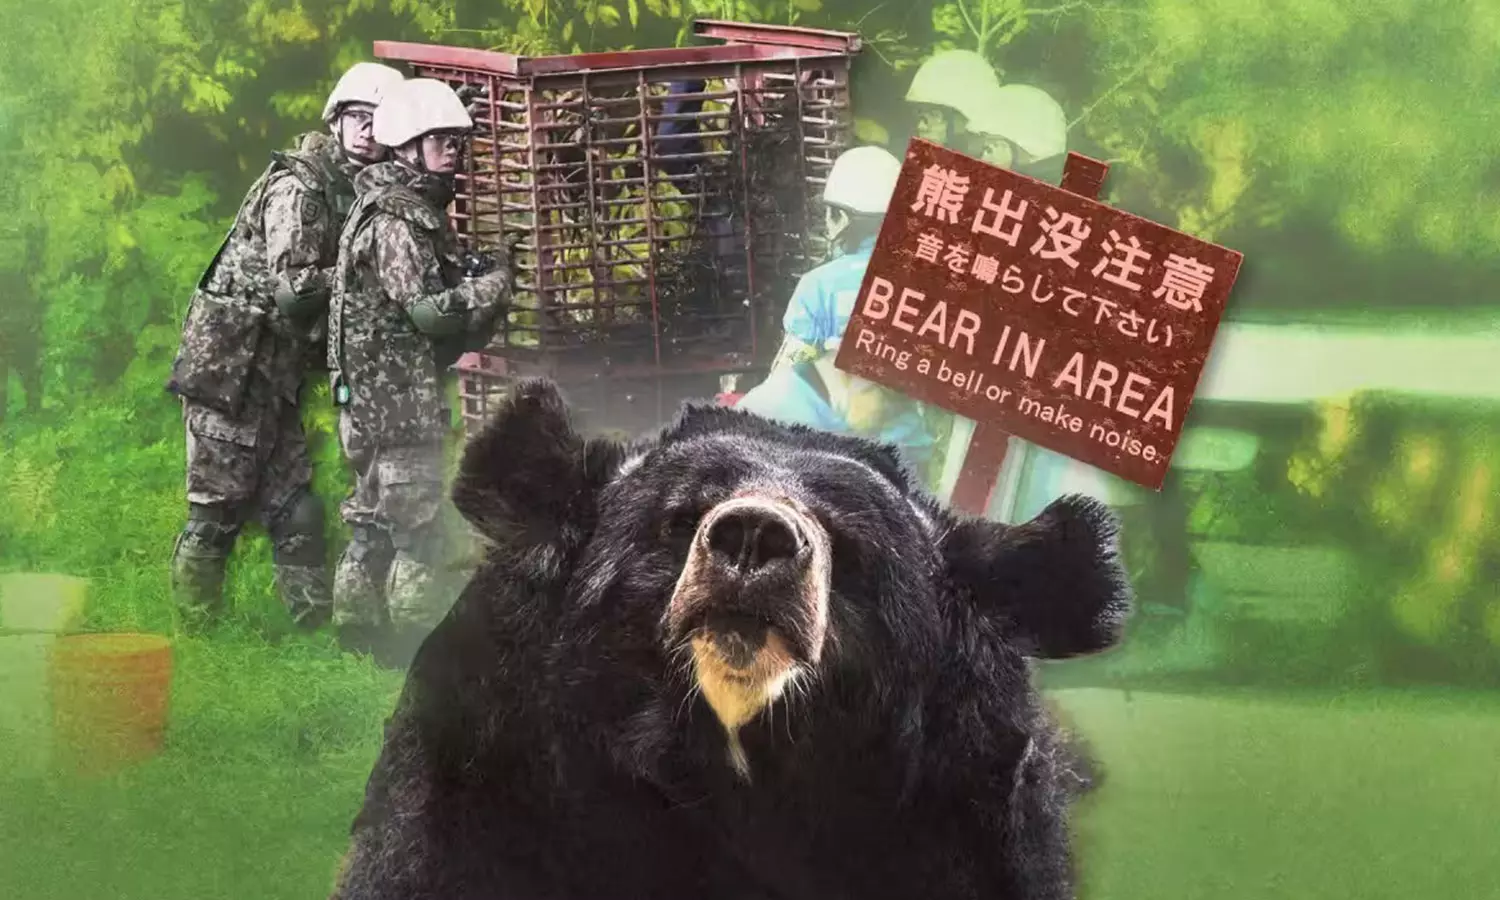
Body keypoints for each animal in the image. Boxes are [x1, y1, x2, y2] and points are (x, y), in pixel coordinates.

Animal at [331, 378, 1132, 900]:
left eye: (850, 546)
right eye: (681, 518)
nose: (755, 538)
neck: (730, 765)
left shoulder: (963, 817)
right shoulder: (482, 768)